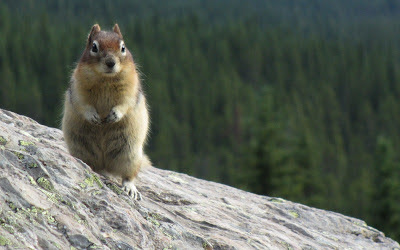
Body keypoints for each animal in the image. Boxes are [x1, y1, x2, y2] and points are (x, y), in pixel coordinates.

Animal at [62, 23, 150, 199]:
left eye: (123, 47)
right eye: (94, 47)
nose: (110, 62)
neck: (106, 79)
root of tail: (106, 165)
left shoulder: (131, 88)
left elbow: (125, 103)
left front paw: (114, 115)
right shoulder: (78, 87)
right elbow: (83, 104)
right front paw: (94, 117)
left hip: (130, 154)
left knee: (128, 175)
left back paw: (130, 189)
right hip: (81, 149)